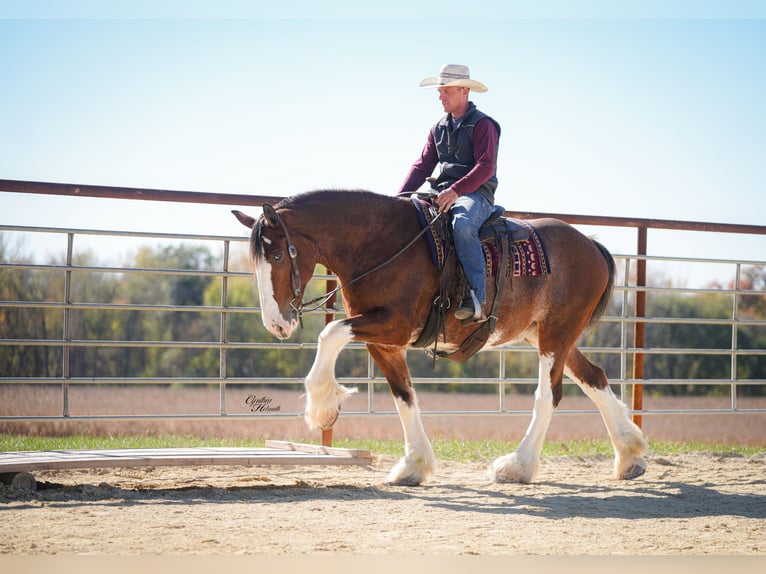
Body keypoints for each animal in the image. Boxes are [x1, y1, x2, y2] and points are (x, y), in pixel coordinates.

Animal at [233, 189, 647, 486]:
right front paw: (413, 464)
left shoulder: (393, 325)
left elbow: (330, 333)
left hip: (555, 336)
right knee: (595, 378)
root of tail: (591, 245)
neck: (381, 244)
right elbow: (404, 397)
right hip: (550, 336)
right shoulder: (385, 343)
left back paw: (518, 466)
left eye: (276, 257)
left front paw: (322, 407)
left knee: (550, 396)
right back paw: (629, 454)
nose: (277, 325)